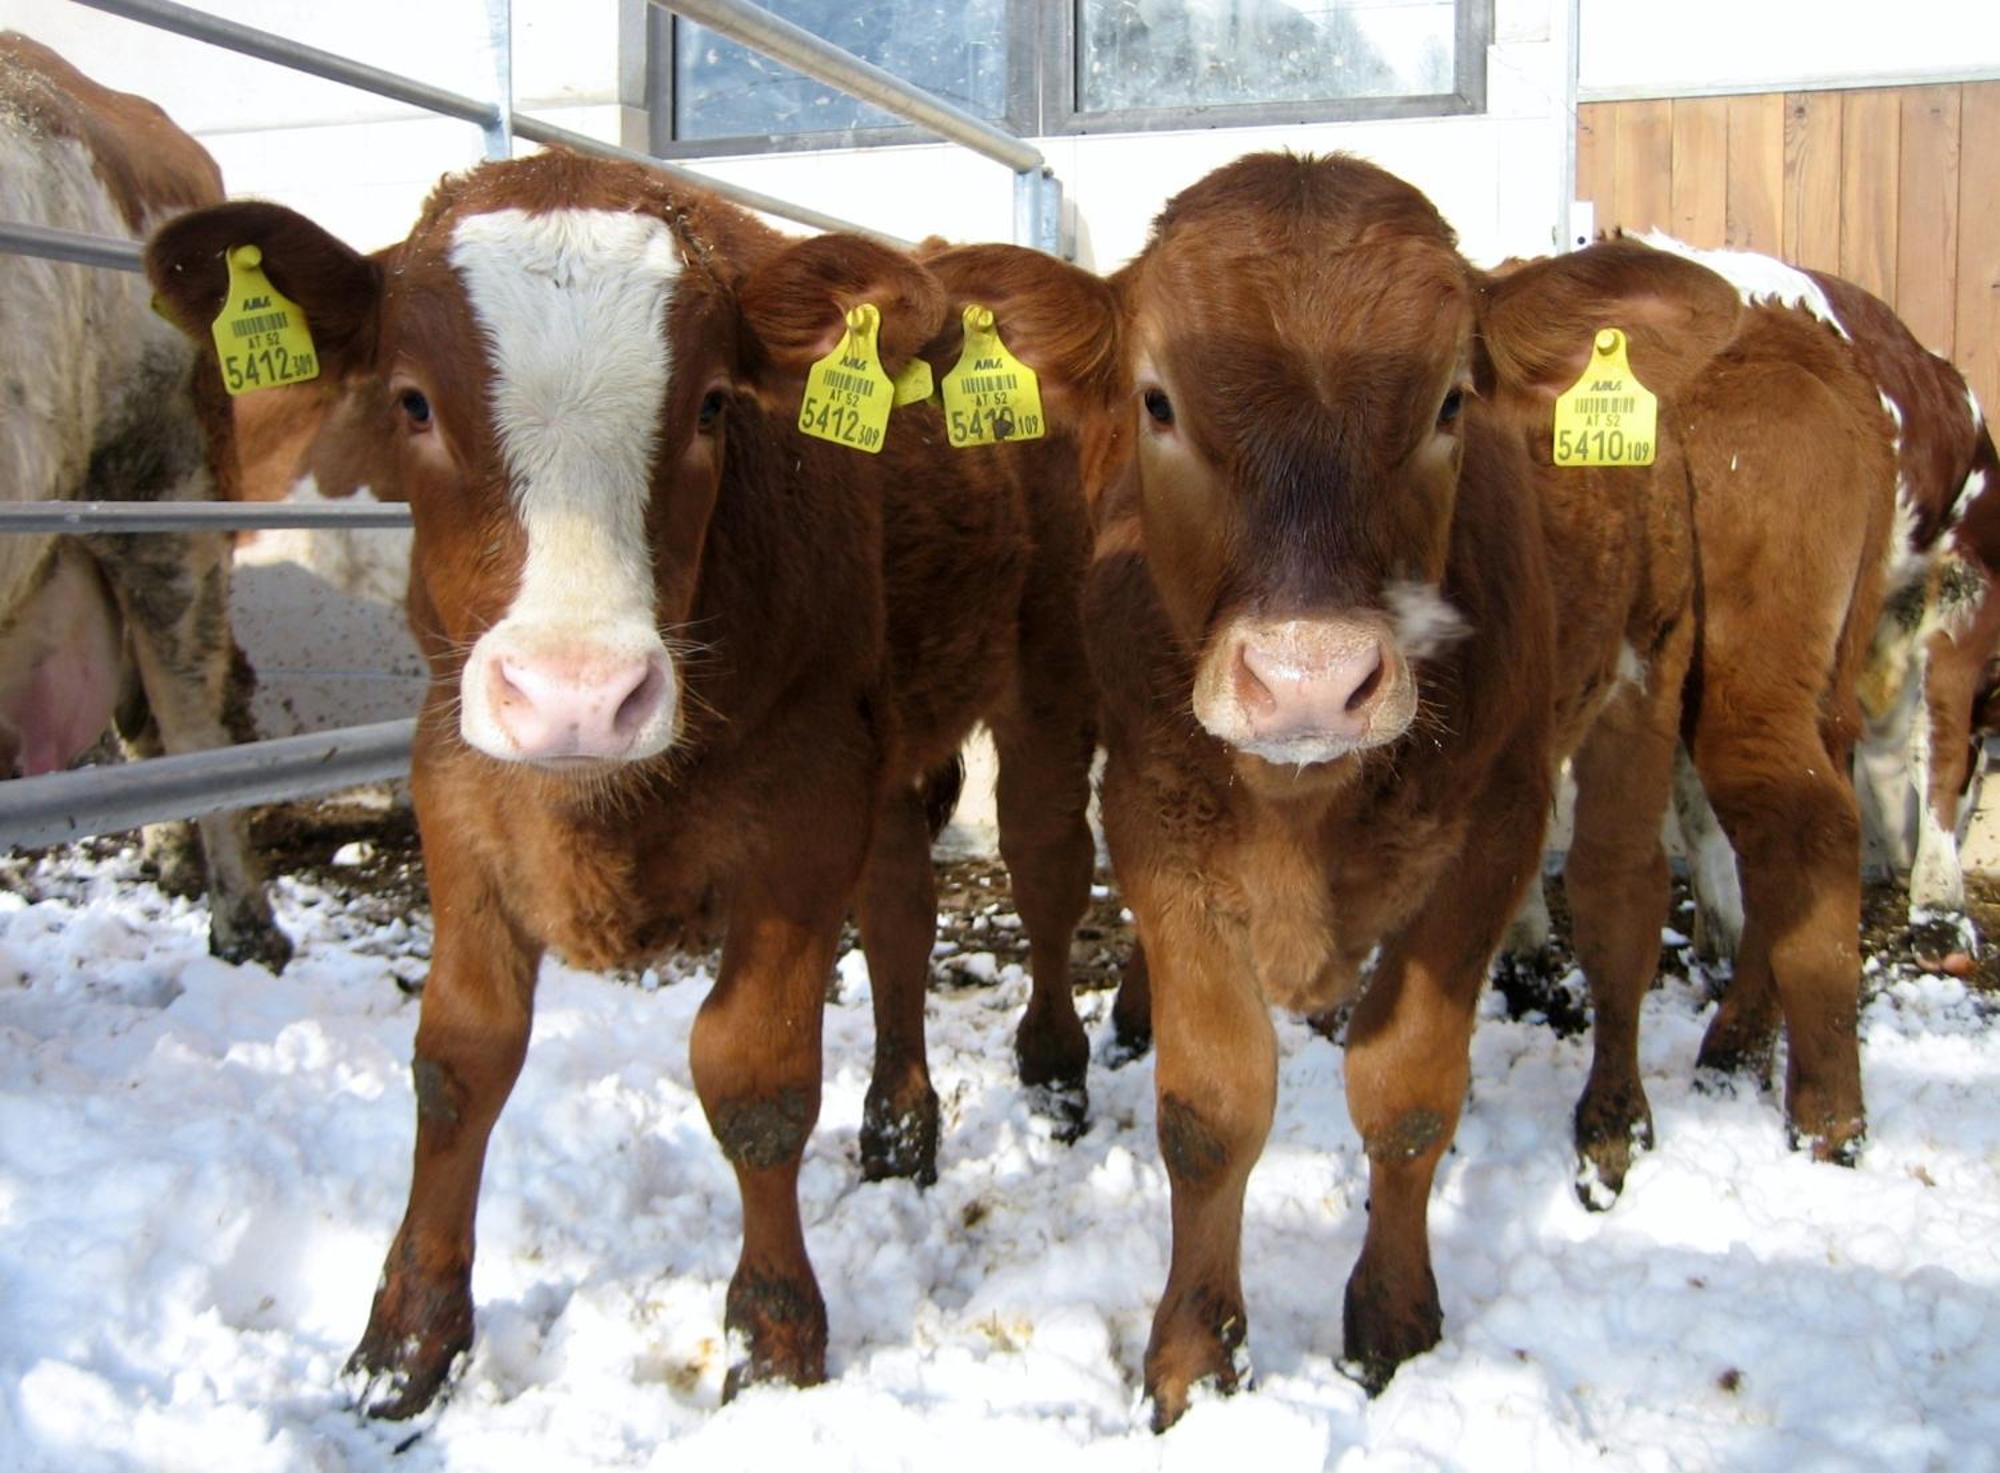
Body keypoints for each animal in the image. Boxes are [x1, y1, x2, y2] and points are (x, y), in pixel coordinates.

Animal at [148, 147, 1104, 1416]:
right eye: (411, 401)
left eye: (710, 405)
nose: (576, 694)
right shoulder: (456, 785)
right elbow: (459, 1060)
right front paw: (404, 1346)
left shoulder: (804, 808)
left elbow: (753, 1078)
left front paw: (775, 1337)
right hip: (893, 735)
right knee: (903, 908)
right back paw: (900, 1132)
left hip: (1046, 675)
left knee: (1045, 871)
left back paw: (1053, 1074)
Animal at [992, 158, 1896, 1424]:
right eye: (1155, 402)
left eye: (1449, 406)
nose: (1307, 678)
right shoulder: (1152, 821)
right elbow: (1210, 1111)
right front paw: (1192, 1358)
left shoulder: (1490, 830)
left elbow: (1406, 1090)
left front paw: (1388, 1326)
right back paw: (1735, 1052)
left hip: (1675, 675)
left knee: (1665, 881)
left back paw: (1733, 1119)